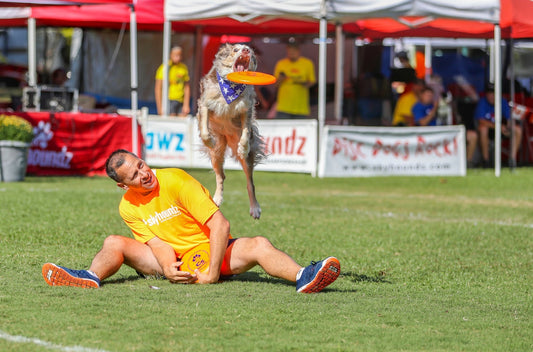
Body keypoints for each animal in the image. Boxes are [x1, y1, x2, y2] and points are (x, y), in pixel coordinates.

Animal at [197, 42, 266, 219]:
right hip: (216, 155)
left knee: (250, 182)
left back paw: (255, 208)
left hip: (245, 160)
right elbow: (205, 129)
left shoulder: (246, 109)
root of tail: (227, 138)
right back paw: (216, 198)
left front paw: (243, 147)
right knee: (221, 176)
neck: (230, 89)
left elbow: (246, 132)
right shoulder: (206, 103)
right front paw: (209, 140)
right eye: (235, 49)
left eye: (251, 51)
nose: (246, 50)